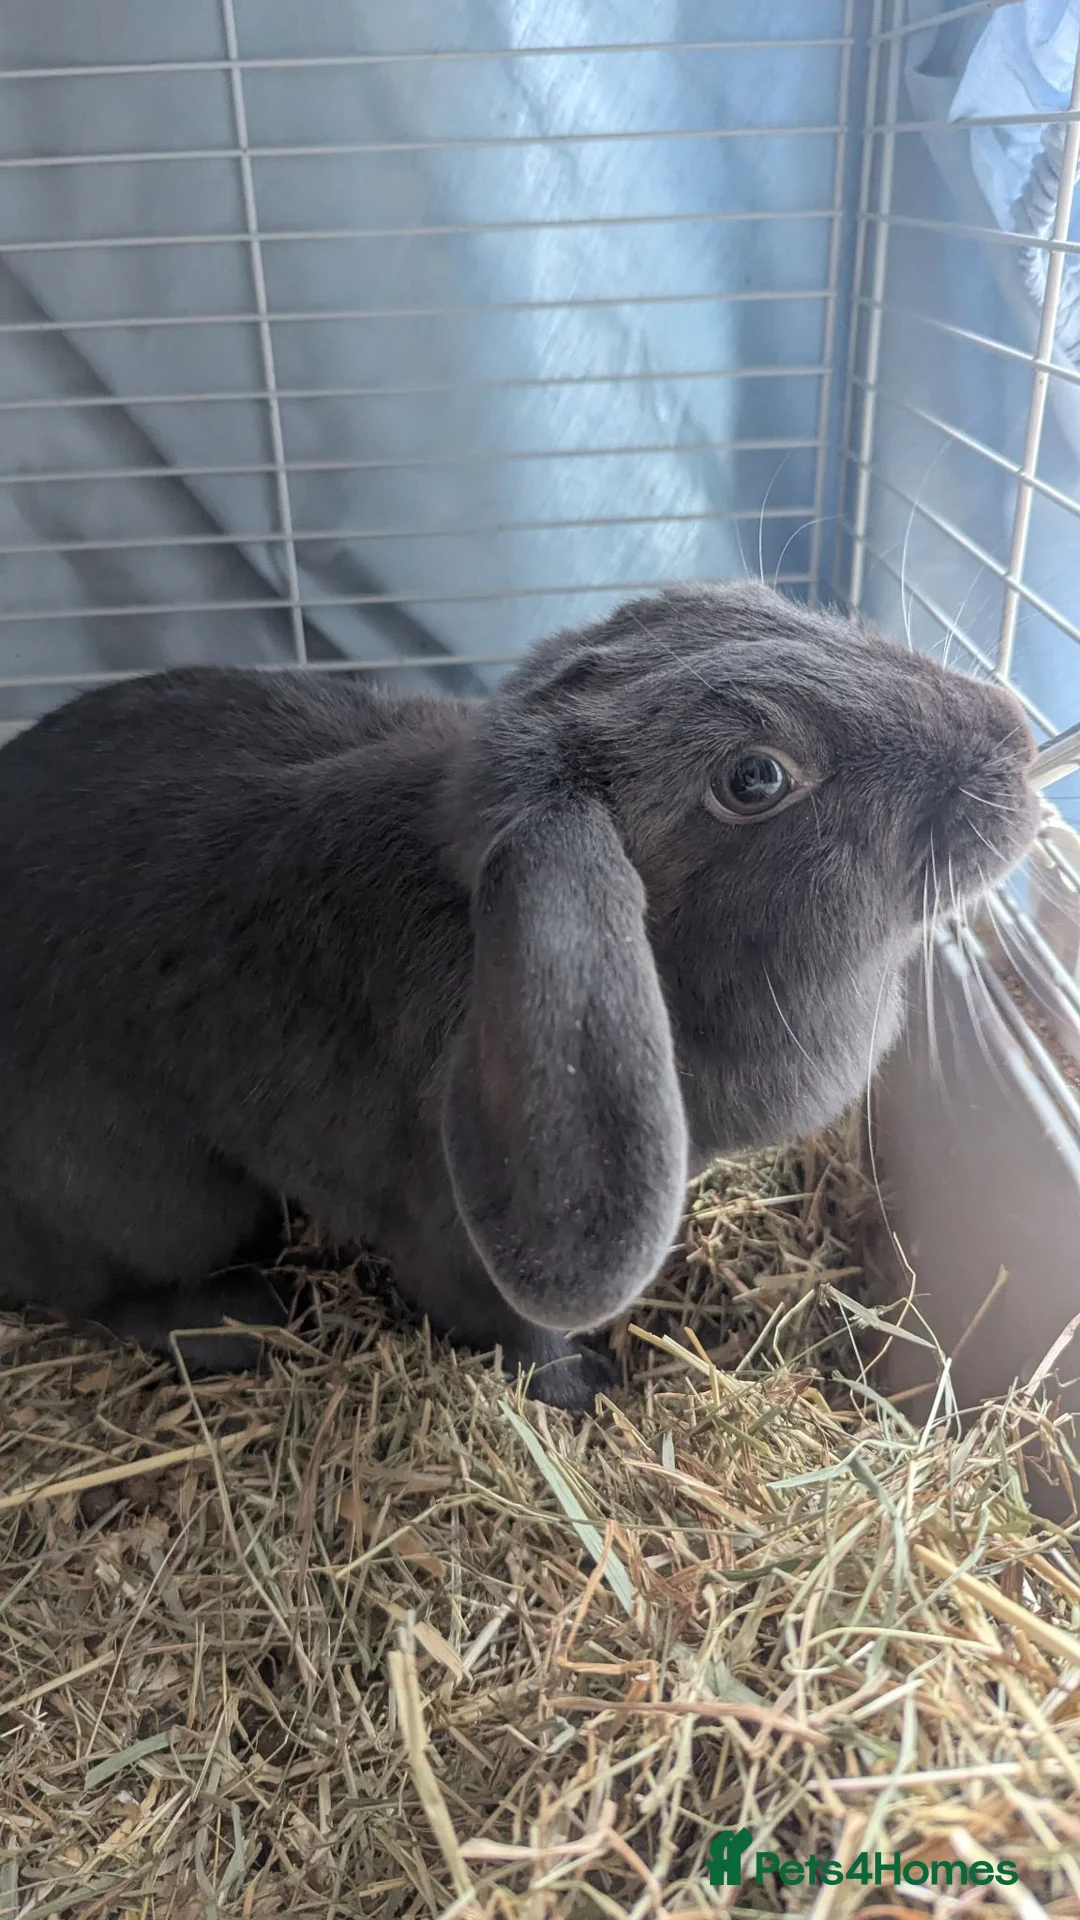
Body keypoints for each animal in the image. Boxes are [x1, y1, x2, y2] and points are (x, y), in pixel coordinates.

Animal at [0, 581, 1039, 1407]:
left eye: (746, 599)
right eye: (754, 778)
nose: (1016, 739)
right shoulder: (457, 1246)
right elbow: (521, 1337)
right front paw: (591, 1394)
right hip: (161, 1200)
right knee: (109, 1294)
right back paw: (240, 1319)